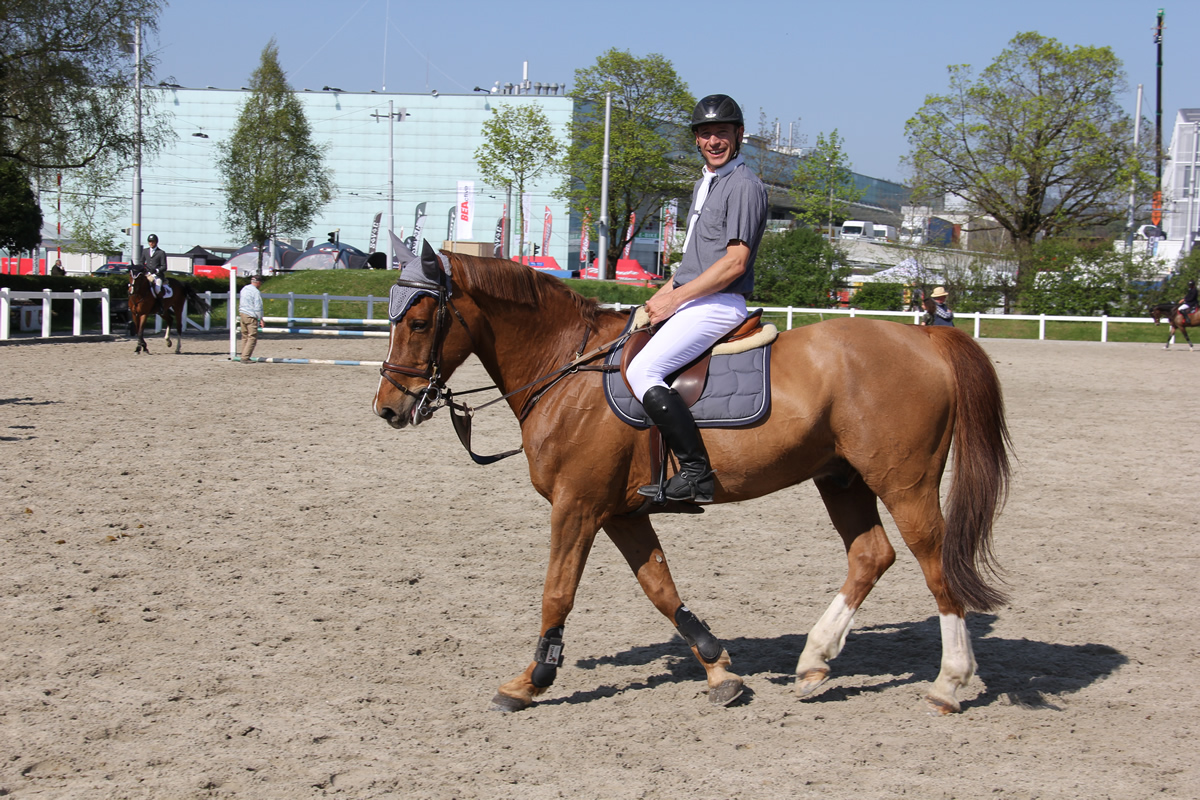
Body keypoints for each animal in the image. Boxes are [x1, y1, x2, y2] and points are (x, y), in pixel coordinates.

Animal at [374, 250, 1012, 714]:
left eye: (420, 321)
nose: (389, 407)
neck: (565, 368)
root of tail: (924, 338)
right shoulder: (619, 513)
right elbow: (660, 588)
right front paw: (718, 668)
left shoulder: (576, 506)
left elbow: (557, 591)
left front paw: (531, 680)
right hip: (842, 479)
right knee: (871, 556)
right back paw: (814, 662)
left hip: (904, 483)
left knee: (933, 560)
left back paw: (949, 682)